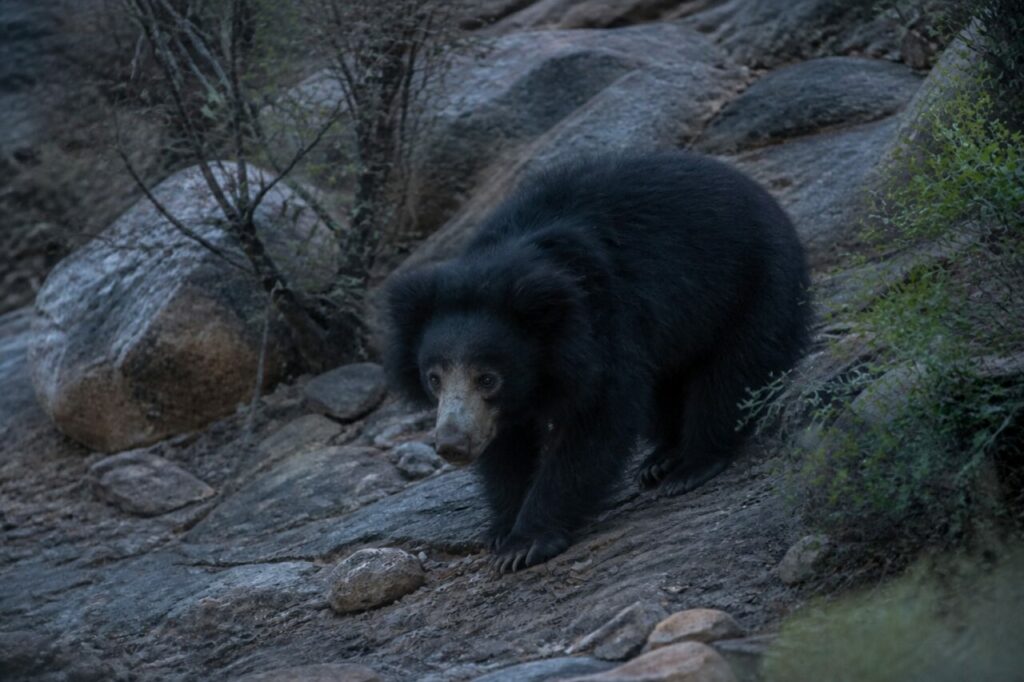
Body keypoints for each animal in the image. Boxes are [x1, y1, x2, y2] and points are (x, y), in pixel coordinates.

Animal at [385, 151, 811, 573]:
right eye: (434, 378)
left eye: (487, 378)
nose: (452, 445)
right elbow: (507, 448)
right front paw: (502, 530)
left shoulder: (605, 325)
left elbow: (594, 424)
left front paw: (525, 543)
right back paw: (660, 459)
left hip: (754, 284)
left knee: (733, 372)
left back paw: (691, 465)